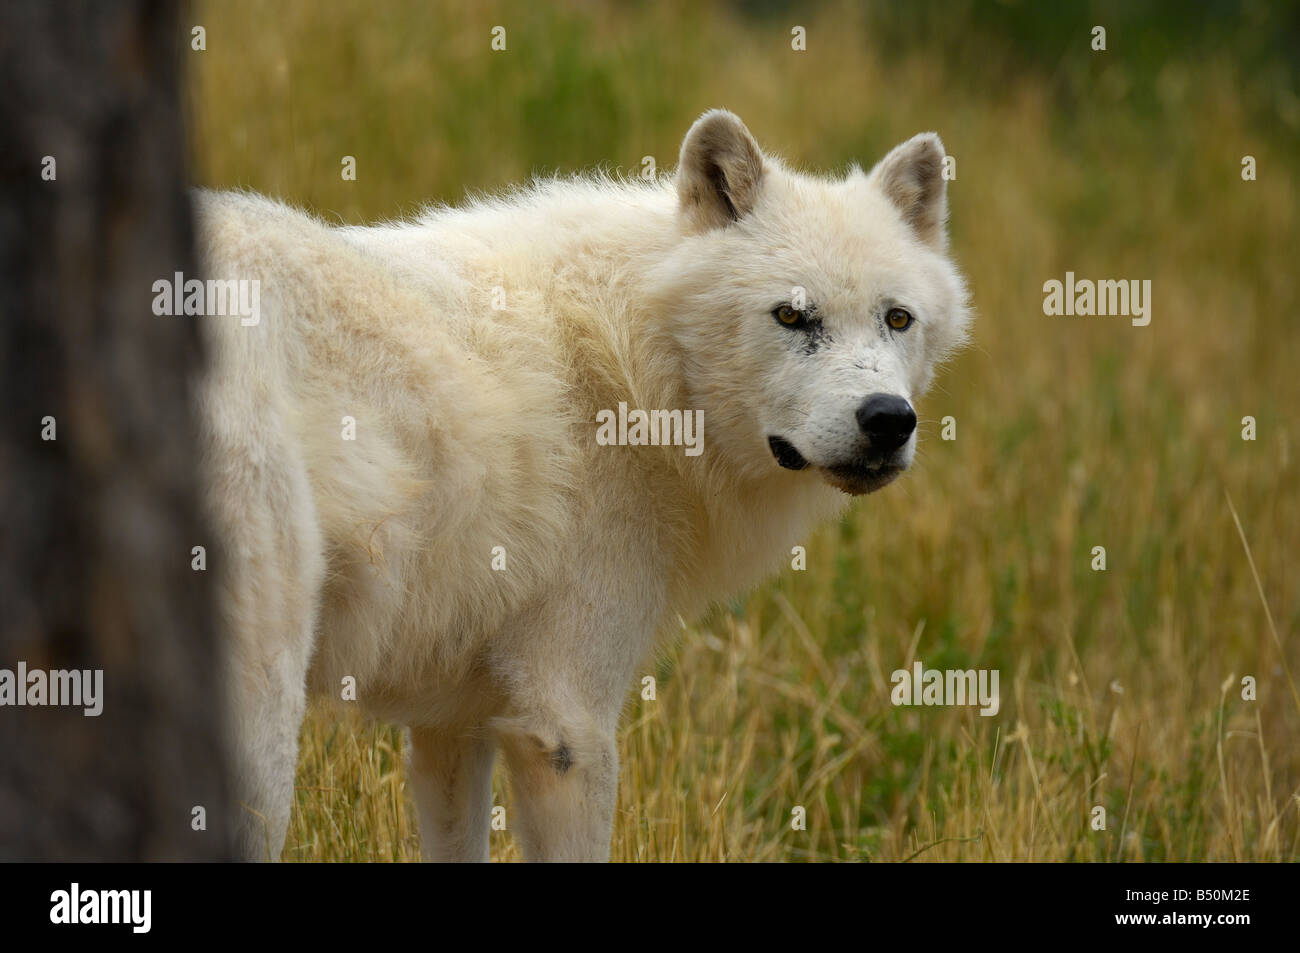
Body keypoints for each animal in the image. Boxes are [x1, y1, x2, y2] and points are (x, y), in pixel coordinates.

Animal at [195, 110, 971, 861]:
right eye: (792, 315)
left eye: (897, 318)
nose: (888, 419)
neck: (633, 372)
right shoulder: (566, 723)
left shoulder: (450, 724)